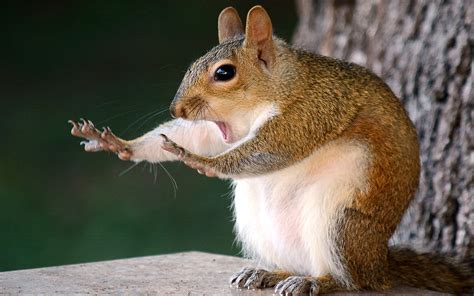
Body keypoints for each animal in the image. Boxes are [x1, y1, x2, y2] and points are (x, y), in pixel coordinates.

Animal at [68, 5, 472, 296]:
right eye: (193, 64)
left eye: (224, 73)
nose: (176, 109)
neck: (278, 86)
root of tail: (379, 263)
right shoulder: (222, 129)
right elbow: (199, 136)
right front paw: (119, 144)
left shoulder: (311, 111)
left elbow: (272, 149)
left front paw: (202, 161)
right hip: (258, 225)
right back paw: (267, 273)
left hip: (341, 224)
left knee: (353, 282)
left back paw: (318, 282)